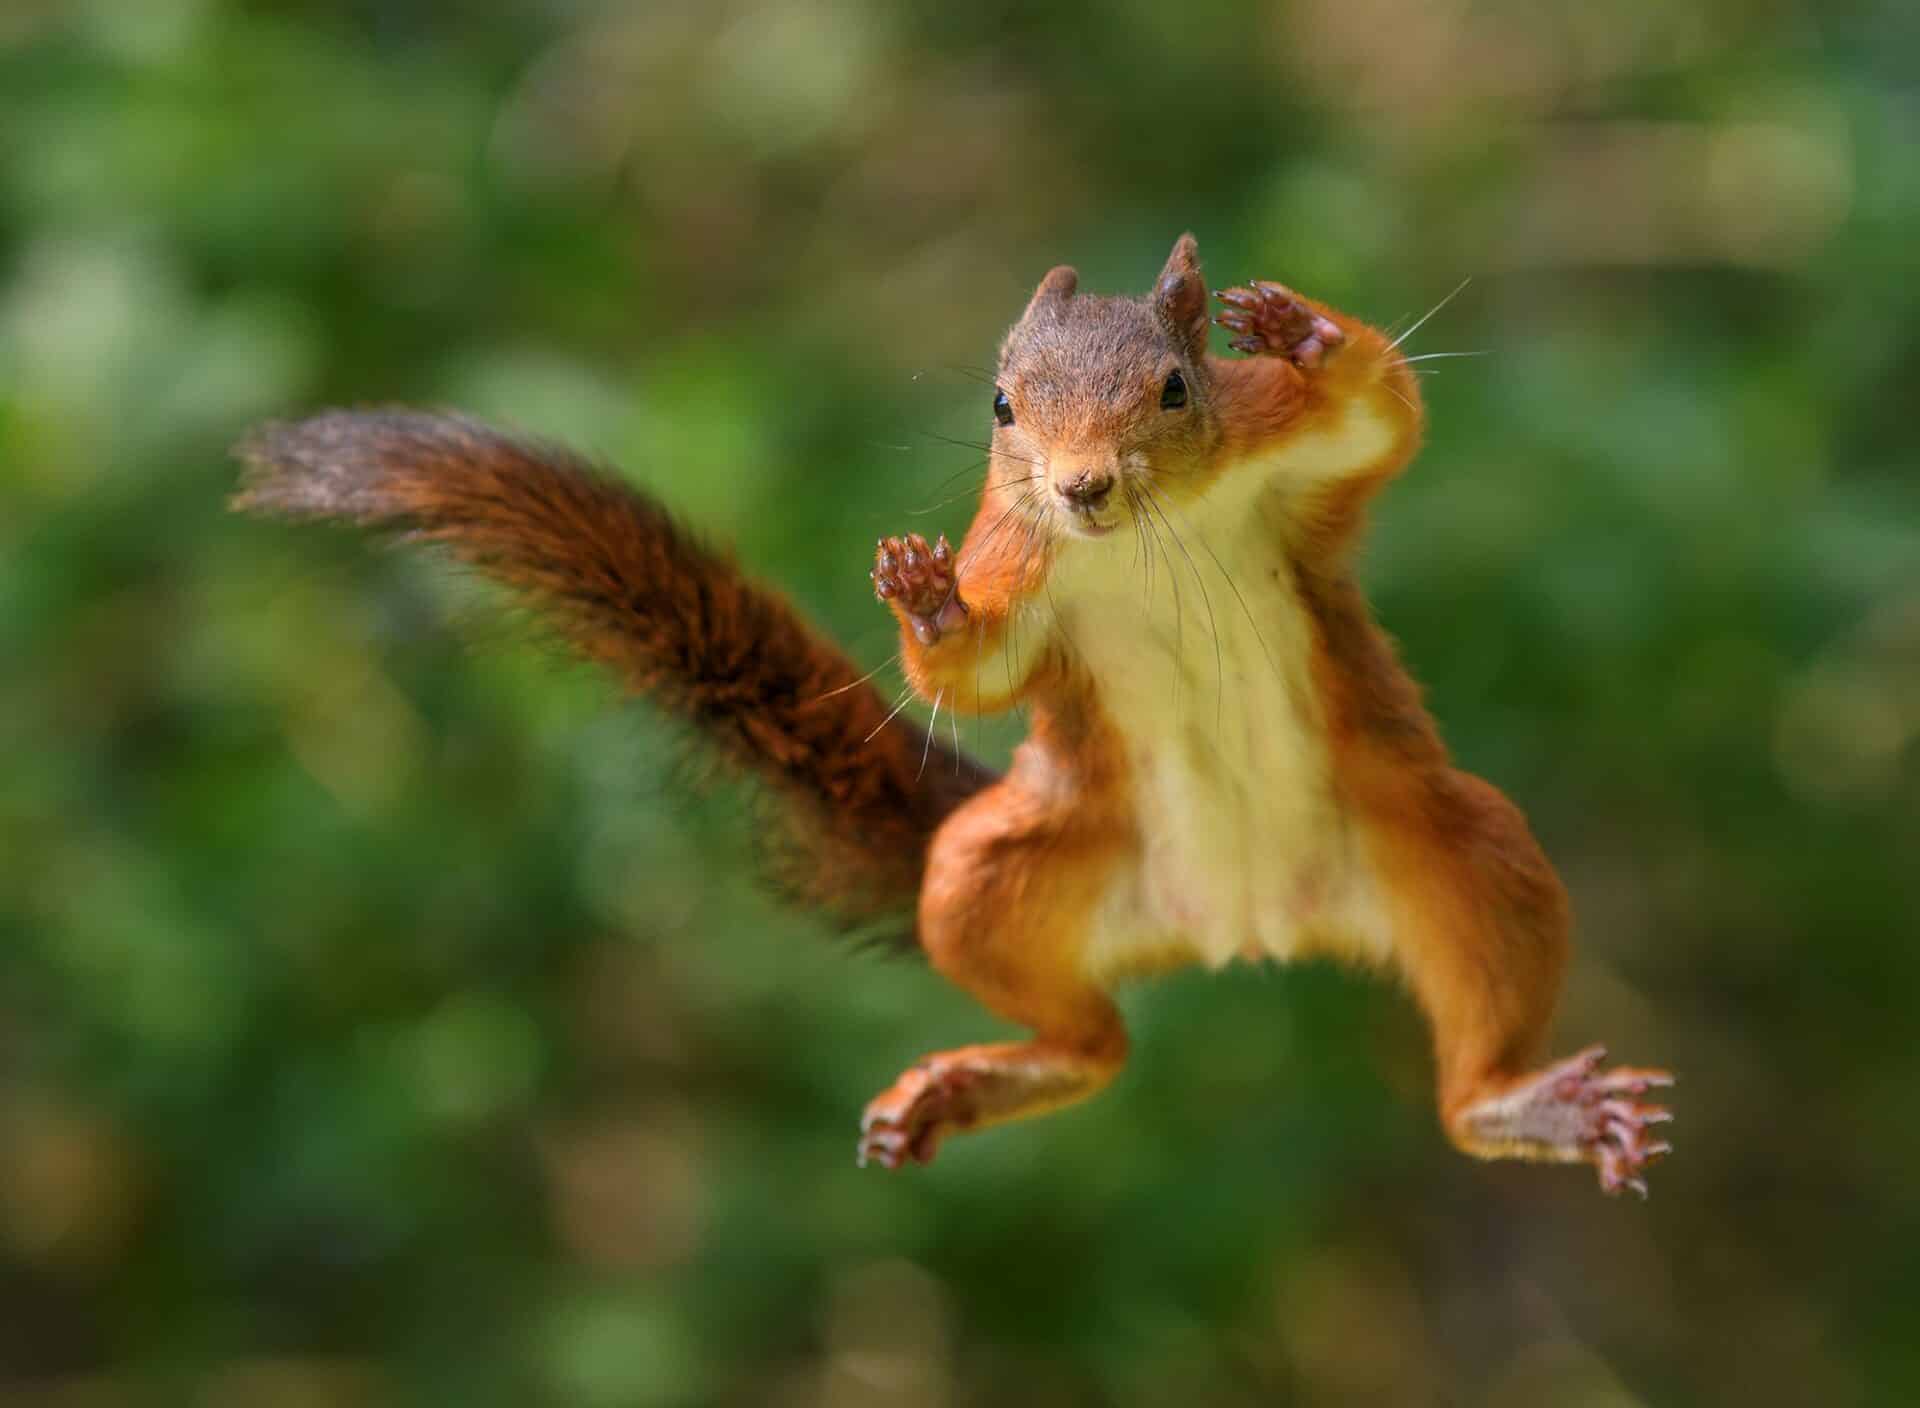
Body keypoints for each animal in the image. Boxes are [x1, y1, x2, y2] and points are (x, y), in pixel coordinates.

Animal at [236, 236, 1666, 1190]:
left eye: (1177, 388)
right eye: (1000, 405)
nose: (1082, 487)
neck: (1139, 539)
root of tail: (1246, 927)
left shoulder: (1293, 452)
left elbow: (1383, 412)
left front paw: (1302, 329)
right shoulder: (1014, 562)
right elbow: (970, 672)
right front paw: (923, 602)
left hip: (1460, 856)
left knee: (1463, 1056)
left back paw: (1530, 1109)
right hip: (999, 870)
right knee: (1091, 1039)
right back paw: (991, 1076)